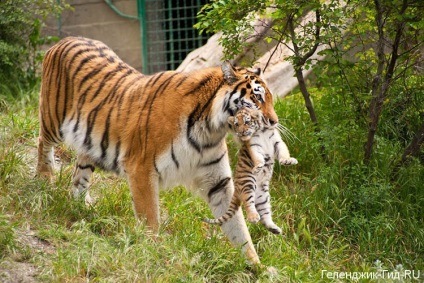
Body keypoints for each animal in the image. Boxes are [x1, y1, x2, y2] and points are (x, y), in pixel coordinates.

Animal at [38, 36, 280, 268]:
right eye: (257, 98)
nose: (274, 122)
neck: (210, 130)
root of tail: (64, 40)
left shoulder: (218, 182)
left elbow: (237, 226)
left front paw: (257, 266)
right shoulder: (141, 169)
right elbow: (150, 216)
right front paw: (153, 250)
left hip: (88, 141)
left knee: (80, 173)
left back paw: (82, 203)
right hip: (53, 120)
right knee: (43, 143)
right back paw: (44, 179)